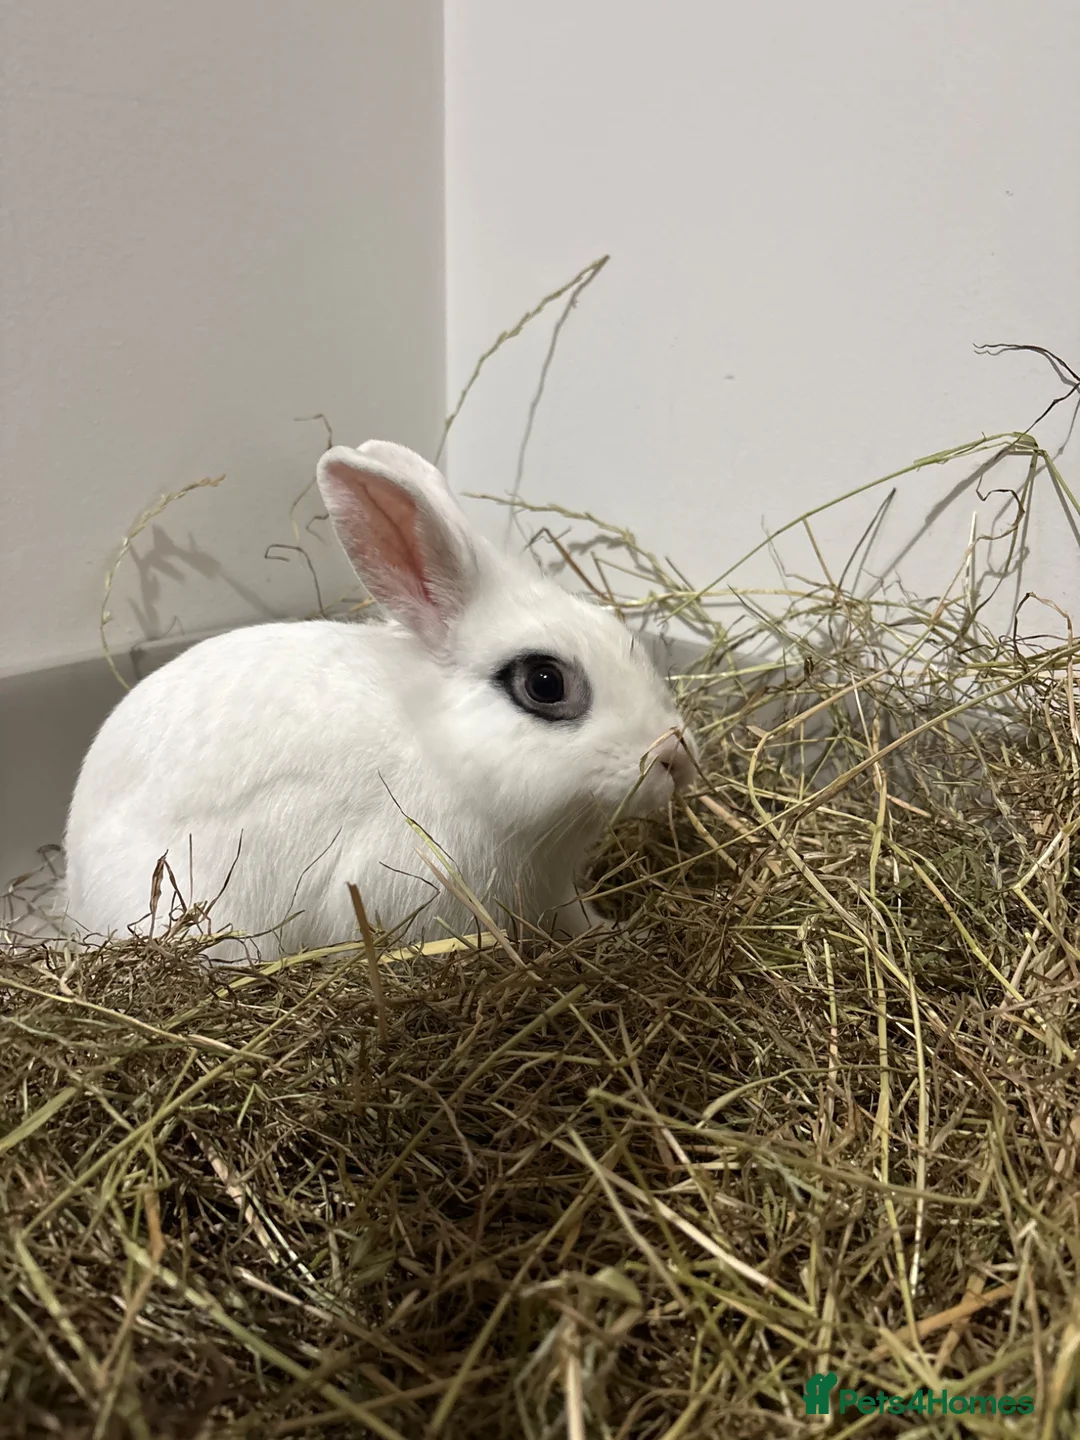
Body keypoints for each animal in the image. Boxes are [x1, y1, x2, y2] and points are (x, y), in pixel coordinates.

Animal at [63, 441, 698, 959]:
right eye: (545, 683)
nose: (676, 759)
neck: (438, 751)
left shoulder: (556, 888)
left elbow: (580, 919)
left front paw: (619, 932)